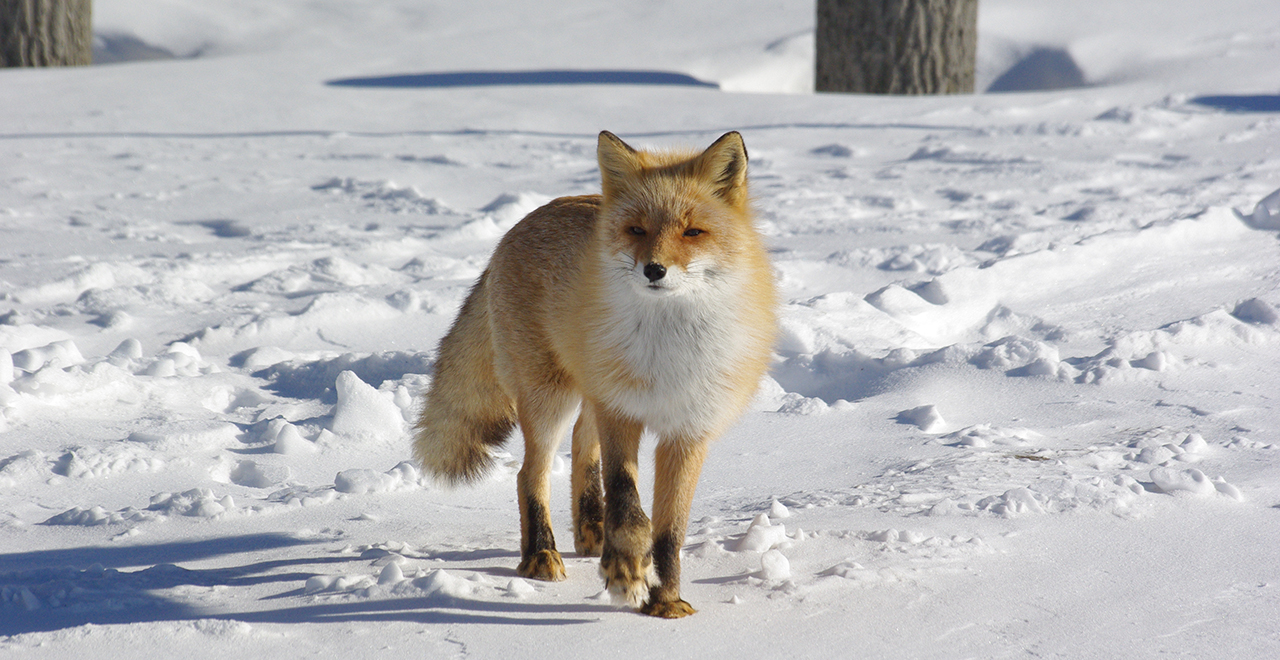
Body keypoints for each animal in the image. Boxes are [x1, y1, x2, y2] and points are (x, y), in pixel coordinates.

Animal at [414, 130, 778, 619]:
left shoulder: (688, 430)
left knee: (581, 444)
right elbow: (628, 502)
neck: (668, 352)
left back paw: (591, 530)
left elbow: (671, 530)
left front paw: (667, 601)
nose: (654, 269)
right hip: (549, 396)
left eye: (692, 232)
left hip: (588, 390)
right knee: (529, 474)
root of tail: (518, 226)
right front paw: (625, 571)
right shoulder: (622, 410)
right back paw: (541, 554)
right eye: (637, 230)